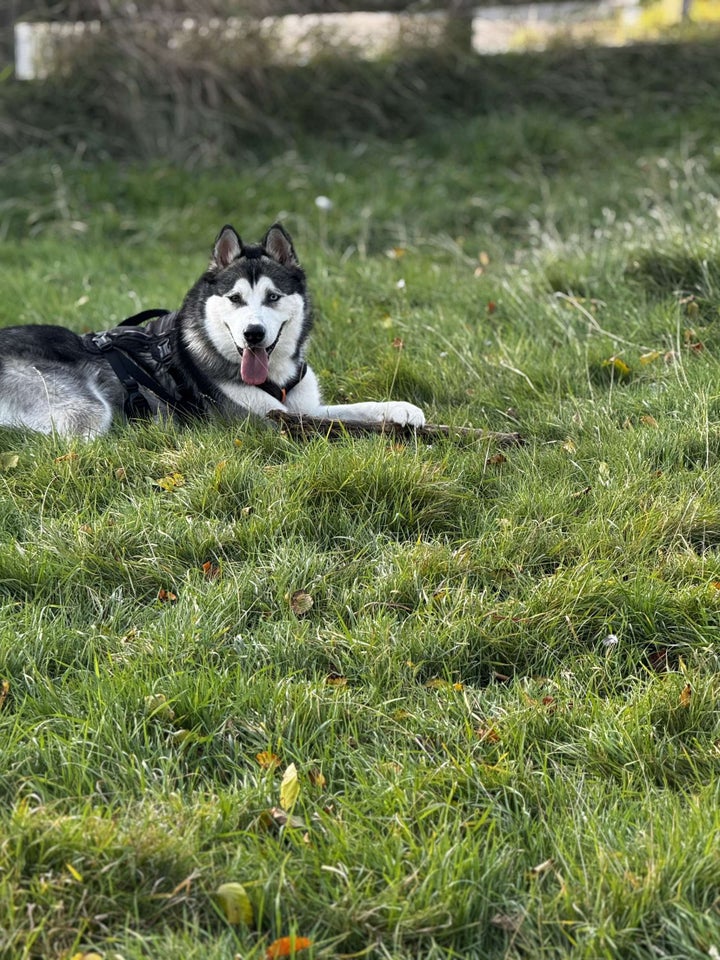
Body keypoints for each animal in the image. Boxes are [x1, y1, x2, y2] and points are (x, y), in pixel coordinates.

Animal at [0, 223, 424, 436]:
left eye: (272, 297)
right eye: (235, 298)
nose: (253, 334)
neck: (275, 377)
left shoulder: (302, 405)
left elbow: (356, 409)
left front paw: (401, 410)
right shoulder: (273, 421)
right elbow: (340, 423)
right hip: (86, 412)